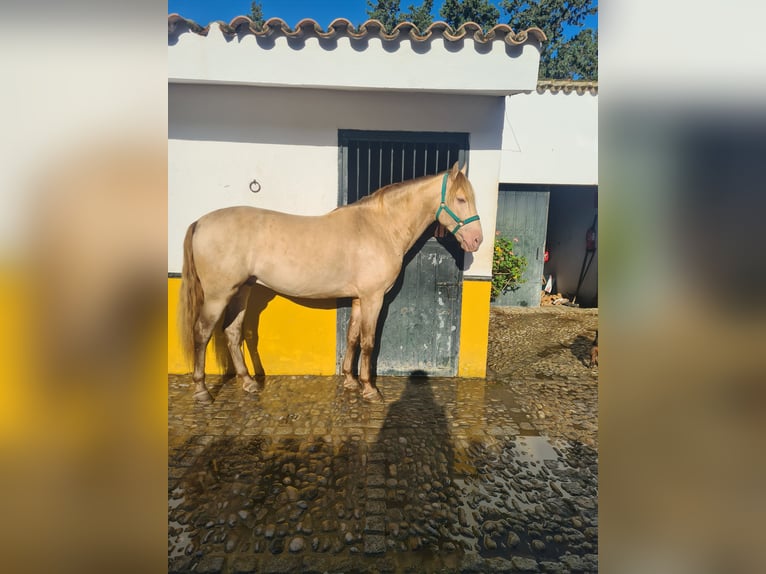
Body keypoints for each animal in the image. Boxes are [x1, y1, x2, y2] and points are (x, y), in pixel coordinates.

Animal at [177, 162, 484, 404]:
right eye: (460, 199)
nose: (477, 240)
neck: (380, 228)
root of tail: (200, 222)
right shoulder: (373, 298)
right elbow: (369, 342)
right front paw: (370, 390)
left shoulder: (360, 299)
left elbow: (353, 337)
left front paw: (350, 381)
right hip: (218, 295)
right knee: (202, 333)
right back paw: (202, 391)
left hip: (242, 290)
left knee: (232, 332)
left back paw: (249, 383)